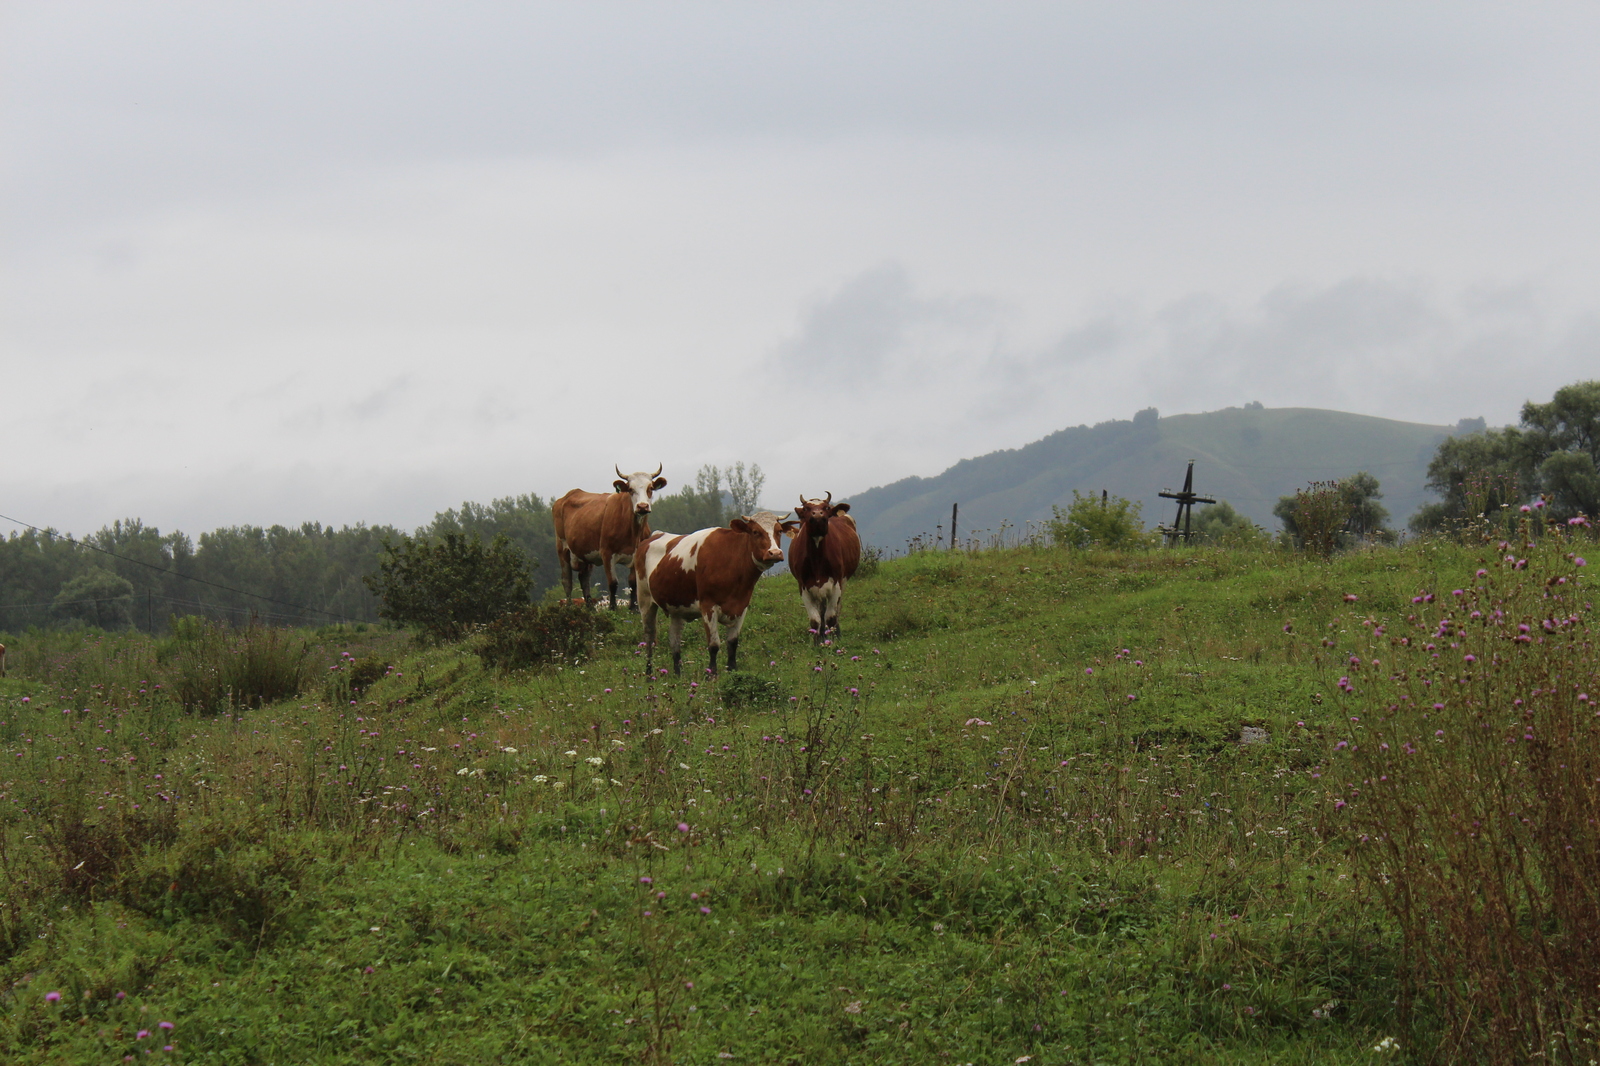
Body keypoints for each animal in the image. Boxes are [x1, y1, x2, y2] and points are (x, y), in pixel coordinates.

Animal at [553, 464, 665, 605]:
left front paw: (633, 608)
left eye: (650, 488)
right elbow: (613, 583)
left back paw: (589, 606)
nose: (642, 506)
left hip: (585, 552)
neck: (633, 533)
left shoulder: (636, 553)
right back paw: (569, 606)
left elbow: (633, 583)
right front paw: (612, 607)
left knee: (584, 578)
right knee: (567, 581)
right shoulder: (606, 552)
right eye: (630, 489)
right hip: (562, 547)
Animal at [630, 508, 793, 672]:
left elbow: (732, 643)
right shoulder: (708, 606)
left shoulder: (742, 606)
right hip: (644, 600)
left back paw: (677, 674)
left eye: (779, 531)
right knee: (649, 638)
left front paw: (732, 671)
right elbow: (714, 645)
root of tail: (655, 535)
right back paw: (649, 673)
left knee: (674, 641)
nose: (775, 553)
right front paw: (712, 674)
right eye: (755, 531)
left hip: (676, 608)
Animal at [787, 492, 864, 640]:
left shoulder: (837, 583)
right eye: (806, 508)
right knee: (821, 609)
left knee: (837, 609)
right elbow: (815, 619)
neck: (817, 559)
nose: (817, 516)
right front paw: (817, 641)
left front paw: (833, 639)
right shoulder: (803, 586)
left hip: (843, 581)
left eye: (826, 507)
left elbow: (831, 617)